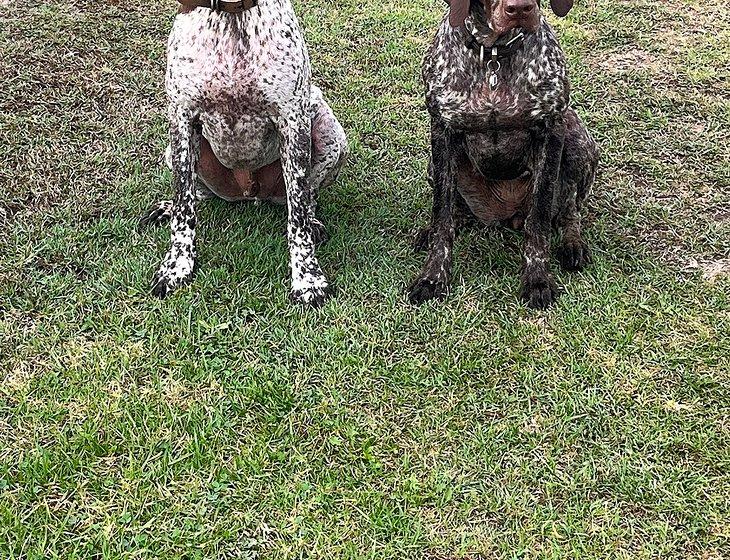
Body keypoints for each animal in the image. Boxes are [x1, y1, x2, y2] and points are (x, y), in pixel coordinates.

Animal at [143, 0, 350, 306]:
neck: (232, 18)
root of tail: (249, 191)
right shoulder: (182, 119)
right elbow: (184, 206)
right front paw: (177, 266)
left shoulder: (292, 121)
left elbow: (298, 215)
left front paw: (307, 279)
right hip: (174, 151)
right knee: (199, 195)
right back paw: (167, 208)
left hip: (329, 132)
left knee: (309, 195)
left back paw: (314, 222)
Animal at [410, 0, 596, 310]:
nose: (520, 8)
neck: (493, 55)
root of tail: (503, 214)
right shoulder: (442, 131)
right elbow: (442, 215)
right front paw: (433, 277)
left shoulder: (551, 130)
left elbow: (540, 217)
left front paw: (537, 279)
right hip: (432, 165)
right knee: (456, 211)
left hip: (575, 136)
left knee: (570, 210)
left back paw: (573, 244)